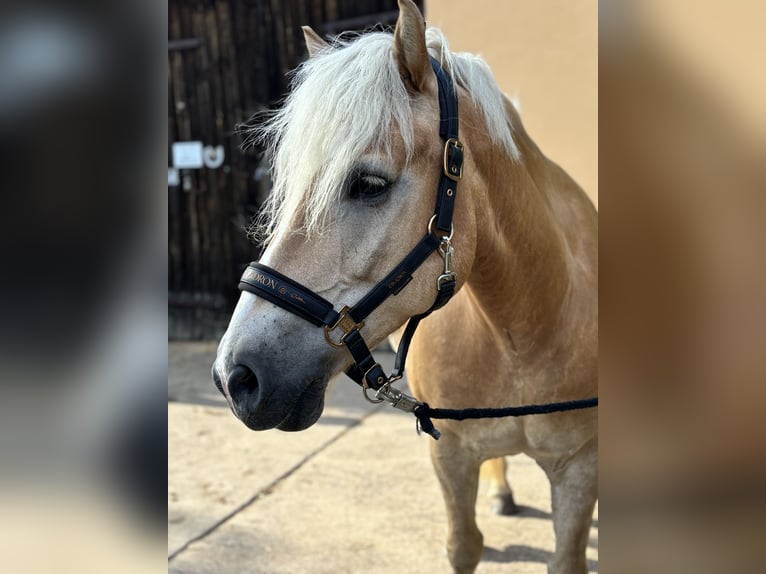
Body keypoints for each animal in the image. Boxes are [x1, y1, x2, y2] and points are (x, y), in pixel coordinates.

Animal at [212, 1, 597, 572]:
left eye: (369, 184)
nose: (234, 377)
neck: (524, 332)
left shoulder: (578, 469)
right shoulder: (450, 454)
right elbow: (464, 545)